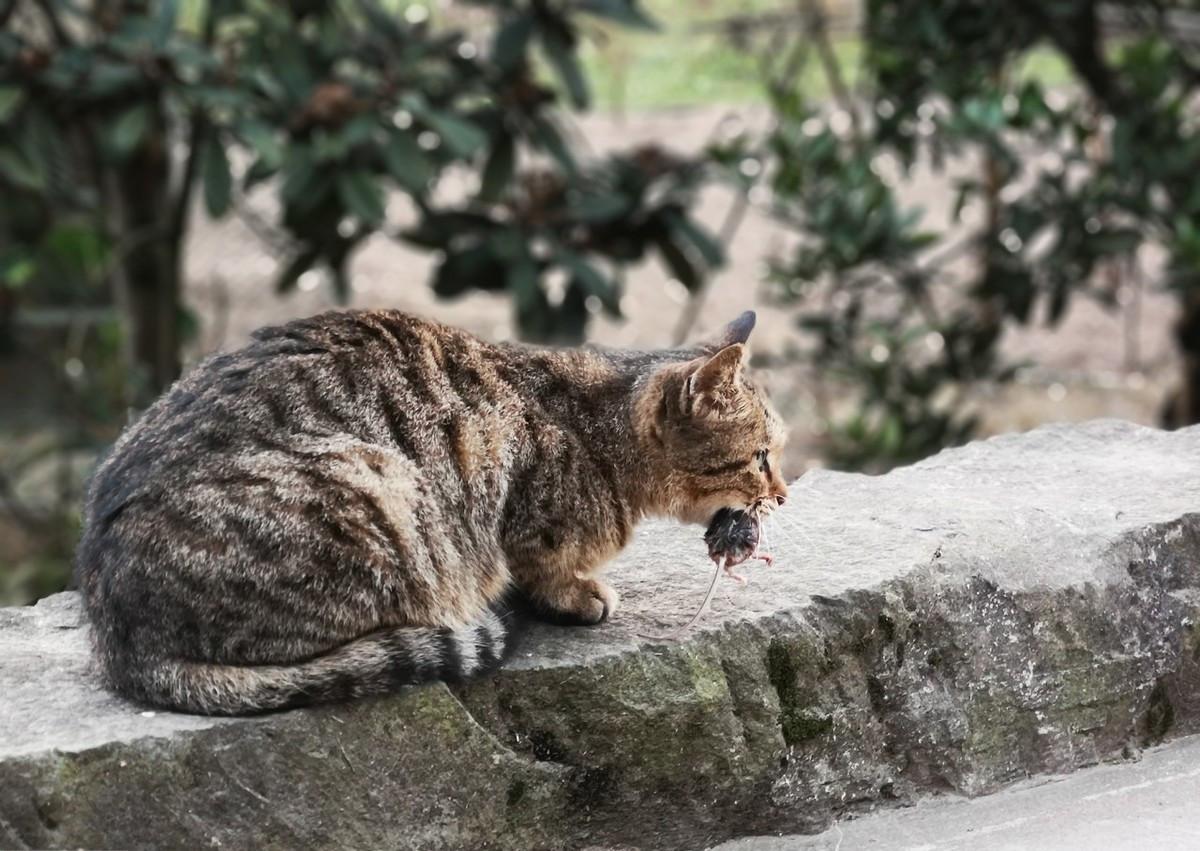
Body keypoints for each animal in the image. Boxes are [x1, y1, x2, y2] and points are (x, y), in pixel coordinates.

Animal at [72, 309, 787, 715]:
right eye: (761, 456)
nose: (781, 494)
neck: (598, 428)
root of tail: (119, 641)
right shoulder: (528, 523)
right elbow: (547, 568)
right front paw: (578, 593)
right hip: (379, 487)